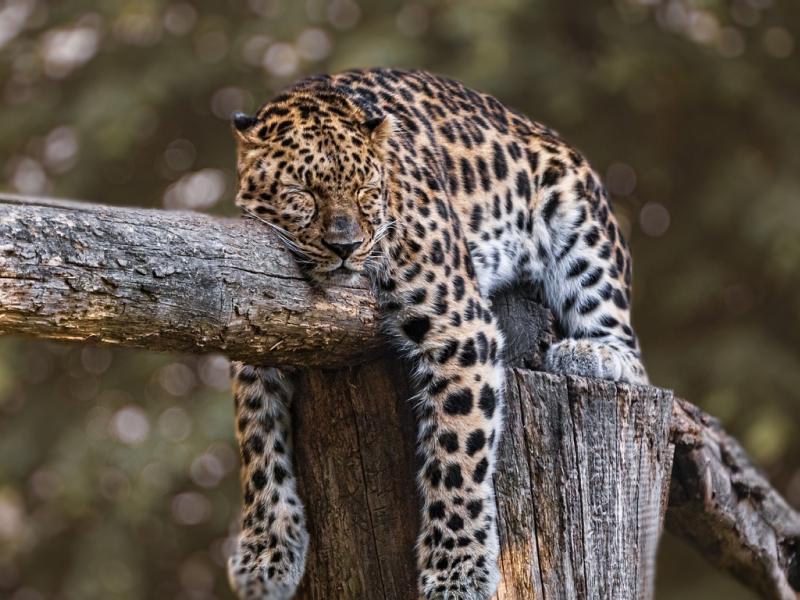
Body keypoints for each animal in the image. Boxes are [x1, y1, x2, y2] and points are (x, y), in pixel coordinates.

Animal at [226, 68, 648, 600]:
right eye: (302, 192)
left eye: (365, 191)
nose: (346, 247)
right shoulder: (255, 332)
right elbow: (259, 444)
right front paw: (266, 554)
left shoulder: (461, 327)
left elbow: (457, 452)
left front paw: (457, 572)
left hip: (582, 229)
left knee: (629, 351)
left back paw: (590, 355)